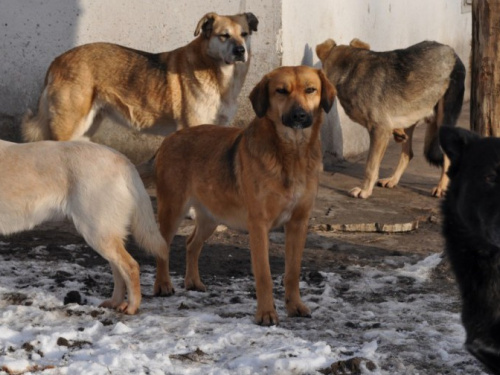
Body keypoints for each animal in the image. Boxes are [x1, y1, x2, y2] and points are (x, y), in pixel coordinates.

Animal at [0, 140, 172, 316]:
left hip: (96, 232)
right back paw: (115, 302)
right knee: (119, 270)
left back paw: (132, 306)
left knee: (131, 267)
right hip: (105, 235)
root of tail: (122, 159)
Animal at [150, 67, 334, 326]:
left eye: (311, 89)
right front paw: (266, 314)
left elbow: (293, 272)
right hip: (172, 209)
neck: (292, 153)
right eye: (281, 91)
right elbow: (264, 274)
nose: (299, 116)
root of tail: (169, 139)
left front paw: (295, 306)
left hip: (211, 216)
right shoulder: (259, 225)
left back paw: (193, 282)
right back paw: (163, 285)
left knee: (191, 244)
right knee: (163, 247)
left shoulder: (298, 223)